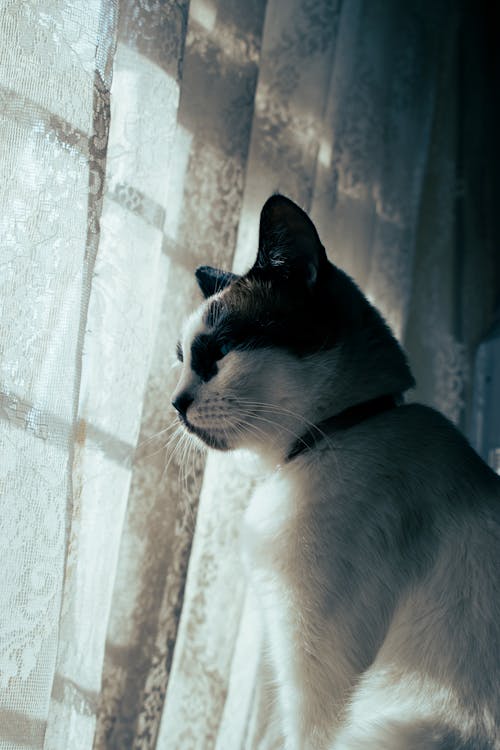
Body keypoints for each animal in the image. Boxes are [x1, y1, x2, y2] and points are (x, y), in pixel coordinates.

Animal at [173, 195, 500, 750]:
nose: (175, 403)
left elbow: (306, 732)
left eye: (218, 352)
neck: (333, 435)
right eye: (180, 358)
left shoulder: (314, 671)